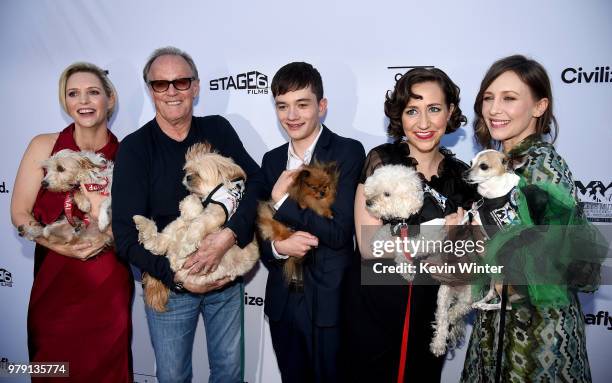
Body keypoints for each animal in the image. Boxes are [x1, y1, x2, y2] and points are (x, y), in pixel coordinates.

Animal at [134, 142, 258, 314]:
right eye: (188, 171)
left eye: (198, 173)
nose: (187, 177)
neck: (213, 192)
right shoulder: (201, 204)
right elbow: (193, 203)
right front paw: (188, 206)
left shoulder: (218, 212)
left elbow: (199, 224)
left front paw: (187, 245)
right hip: (175, 228)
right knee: (157, 242)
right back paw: (143, 223)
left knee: (165, 249)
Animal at [364, 164, 474, 356]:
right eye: (374, 189)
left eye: (387, 194)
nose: (368, 203)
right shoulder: (399, 226)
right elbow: (387, 231)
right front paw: (377, 240)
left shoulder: (432, 236)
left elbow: (405, 248)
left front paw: (406, 269)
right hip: (443, 294)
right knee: (444, 317)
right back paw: (439, 342)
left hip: (473, 290)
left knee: (464, 306)